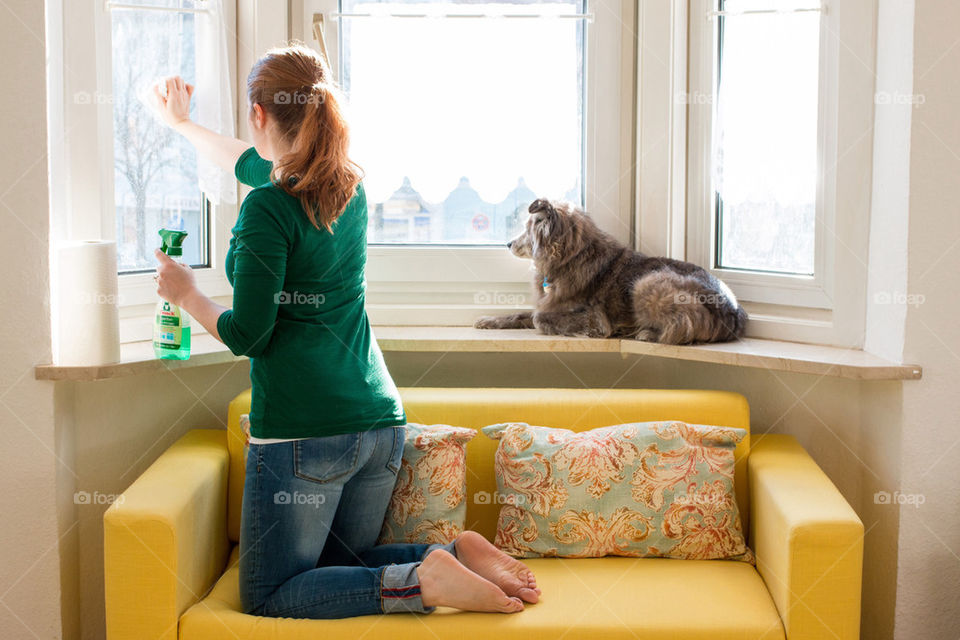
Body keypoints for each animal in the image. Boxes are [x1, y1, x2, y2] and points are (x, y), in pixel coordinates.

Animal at [476, 199, 748, 344]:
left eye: (527, 228)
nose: (508, 243)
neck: (570, 257)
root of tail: (735, 311)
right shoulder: (549, 303)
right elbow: (523, 314)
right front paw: (488, 320)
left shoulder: (593, 316)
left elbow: (538, 318)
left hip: (648, 282)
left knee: (680, 328)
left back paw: (646, 332)